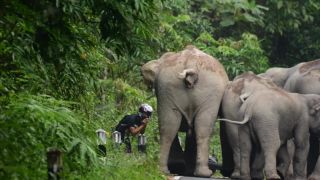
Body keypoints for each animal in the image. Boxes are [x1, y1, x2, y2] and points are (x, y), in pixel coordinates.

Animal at [141, 45, 229, 176]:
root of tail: (191, 64)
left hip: (169, 89)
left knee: (169, 127)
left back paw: (166, 170)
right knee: (199, 127)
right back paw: (201, 172)